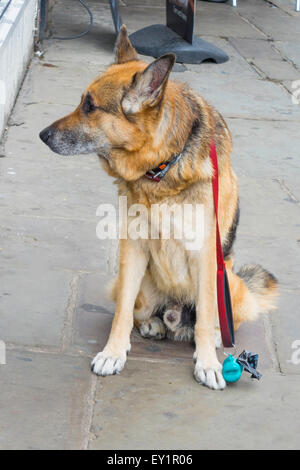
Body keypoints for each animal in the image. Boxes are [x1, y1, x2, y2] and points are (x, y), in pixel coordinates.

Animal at [39, 27, 278, 392]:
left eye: (90, 106)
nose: (42, 135)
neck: (163, 167)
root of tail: (174, 312)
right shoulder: (132, 249)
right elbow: (122, 312)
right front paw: (113, 352)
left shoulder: (205, 256)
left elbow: (205, 318)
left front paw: (208, 363)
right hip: (143, 286)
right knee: (141, 311)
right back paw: (154, 325)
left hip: (230, 283)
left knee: (212, 321)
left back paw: (212, 338)